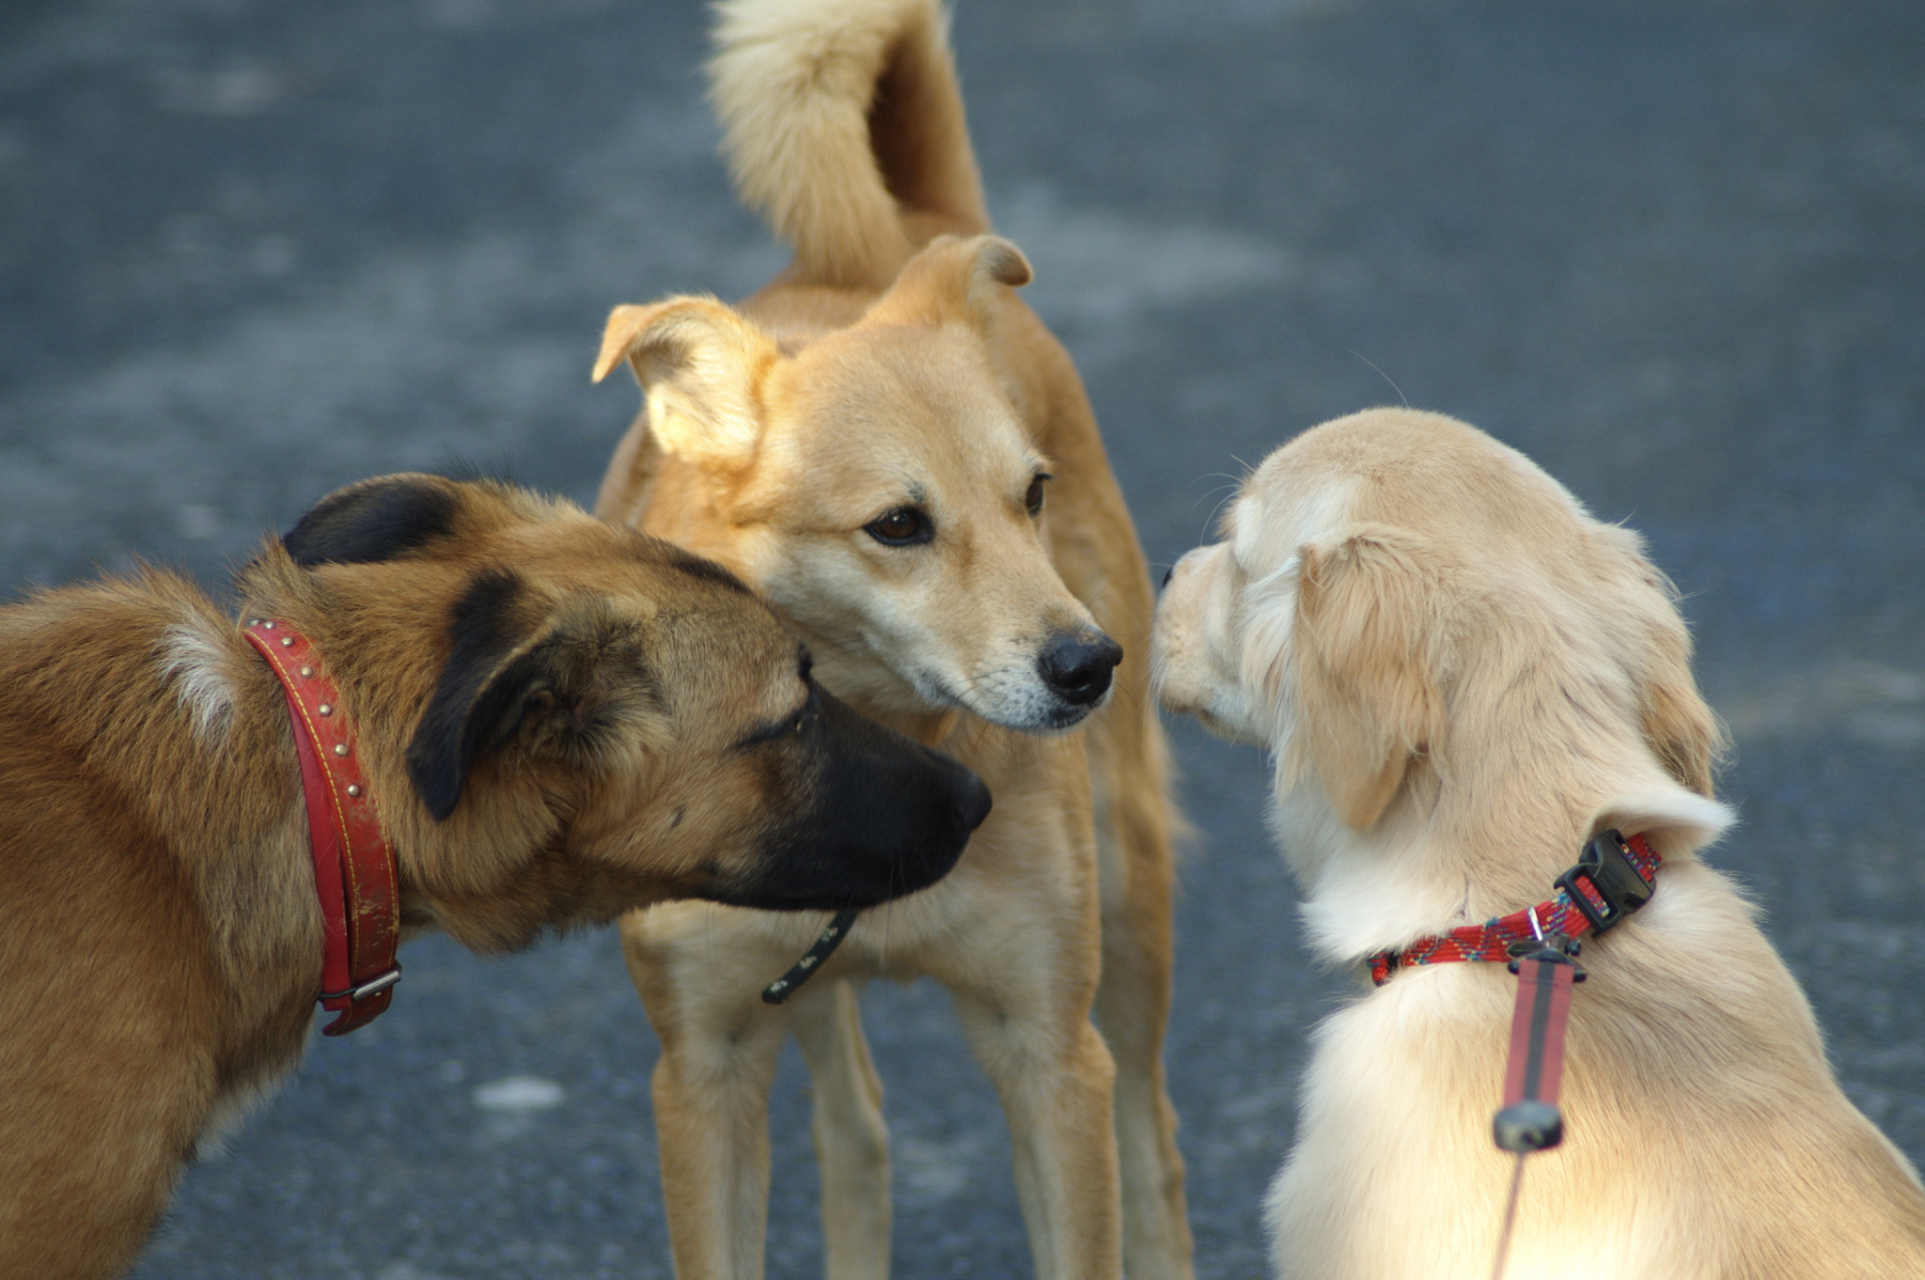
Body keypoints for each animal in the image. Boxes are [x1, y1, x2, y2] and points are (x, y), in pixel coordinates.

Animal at [585, 2, 1185, 1278]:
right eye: (898, 525)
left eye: (1031, 494)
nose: (1088, 666)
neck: (877, 757)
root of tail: (903, 229)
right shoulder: (702, 1068)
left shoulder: (1050, 1055)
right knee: (855, 1129)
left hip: (1128, 901)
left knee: (1154, 1145)